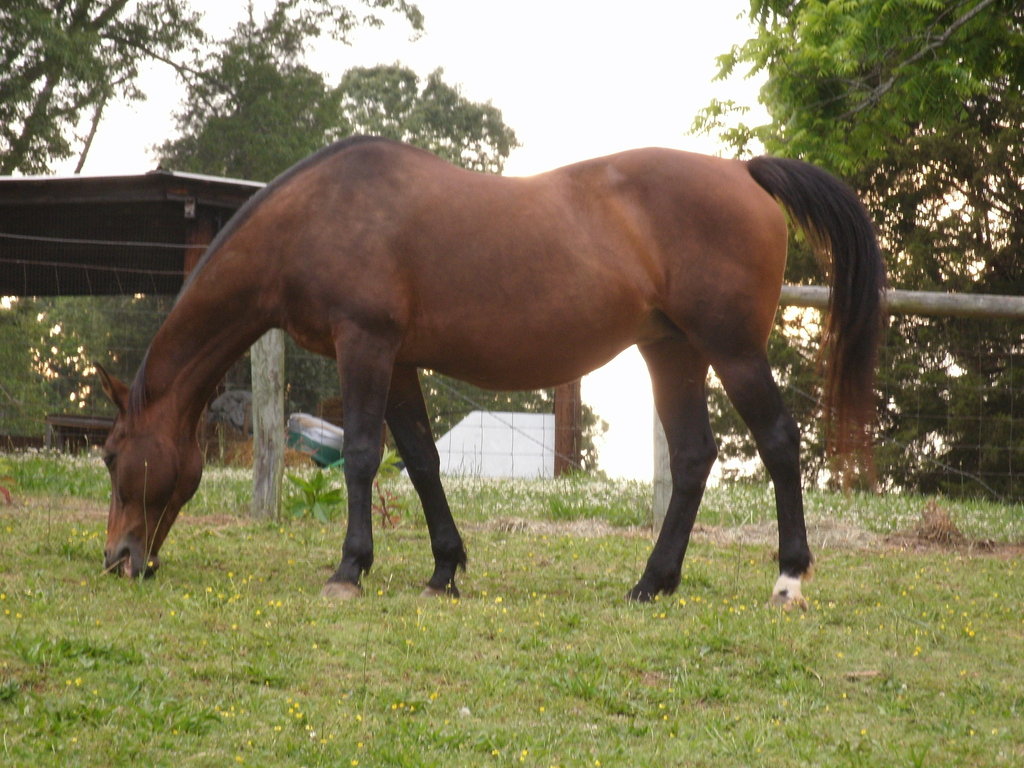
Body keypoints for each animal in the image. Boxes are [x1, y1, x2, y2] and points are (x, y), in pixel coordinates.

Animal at [98, 135, 884, 608]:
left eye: (109, 455)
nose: (119, 559)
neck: (318, 214)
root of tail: (741, 170)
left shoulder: (366, 347)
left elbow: (362, 456)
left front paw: (350, 569)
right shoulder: (399, 361)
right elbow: (420, 461)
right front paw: (444, 570)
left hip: (732, 350)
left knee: (780, 443)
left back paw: (788, 579)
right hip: (673, 351)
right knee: (693, 457)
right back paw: (652, 582)